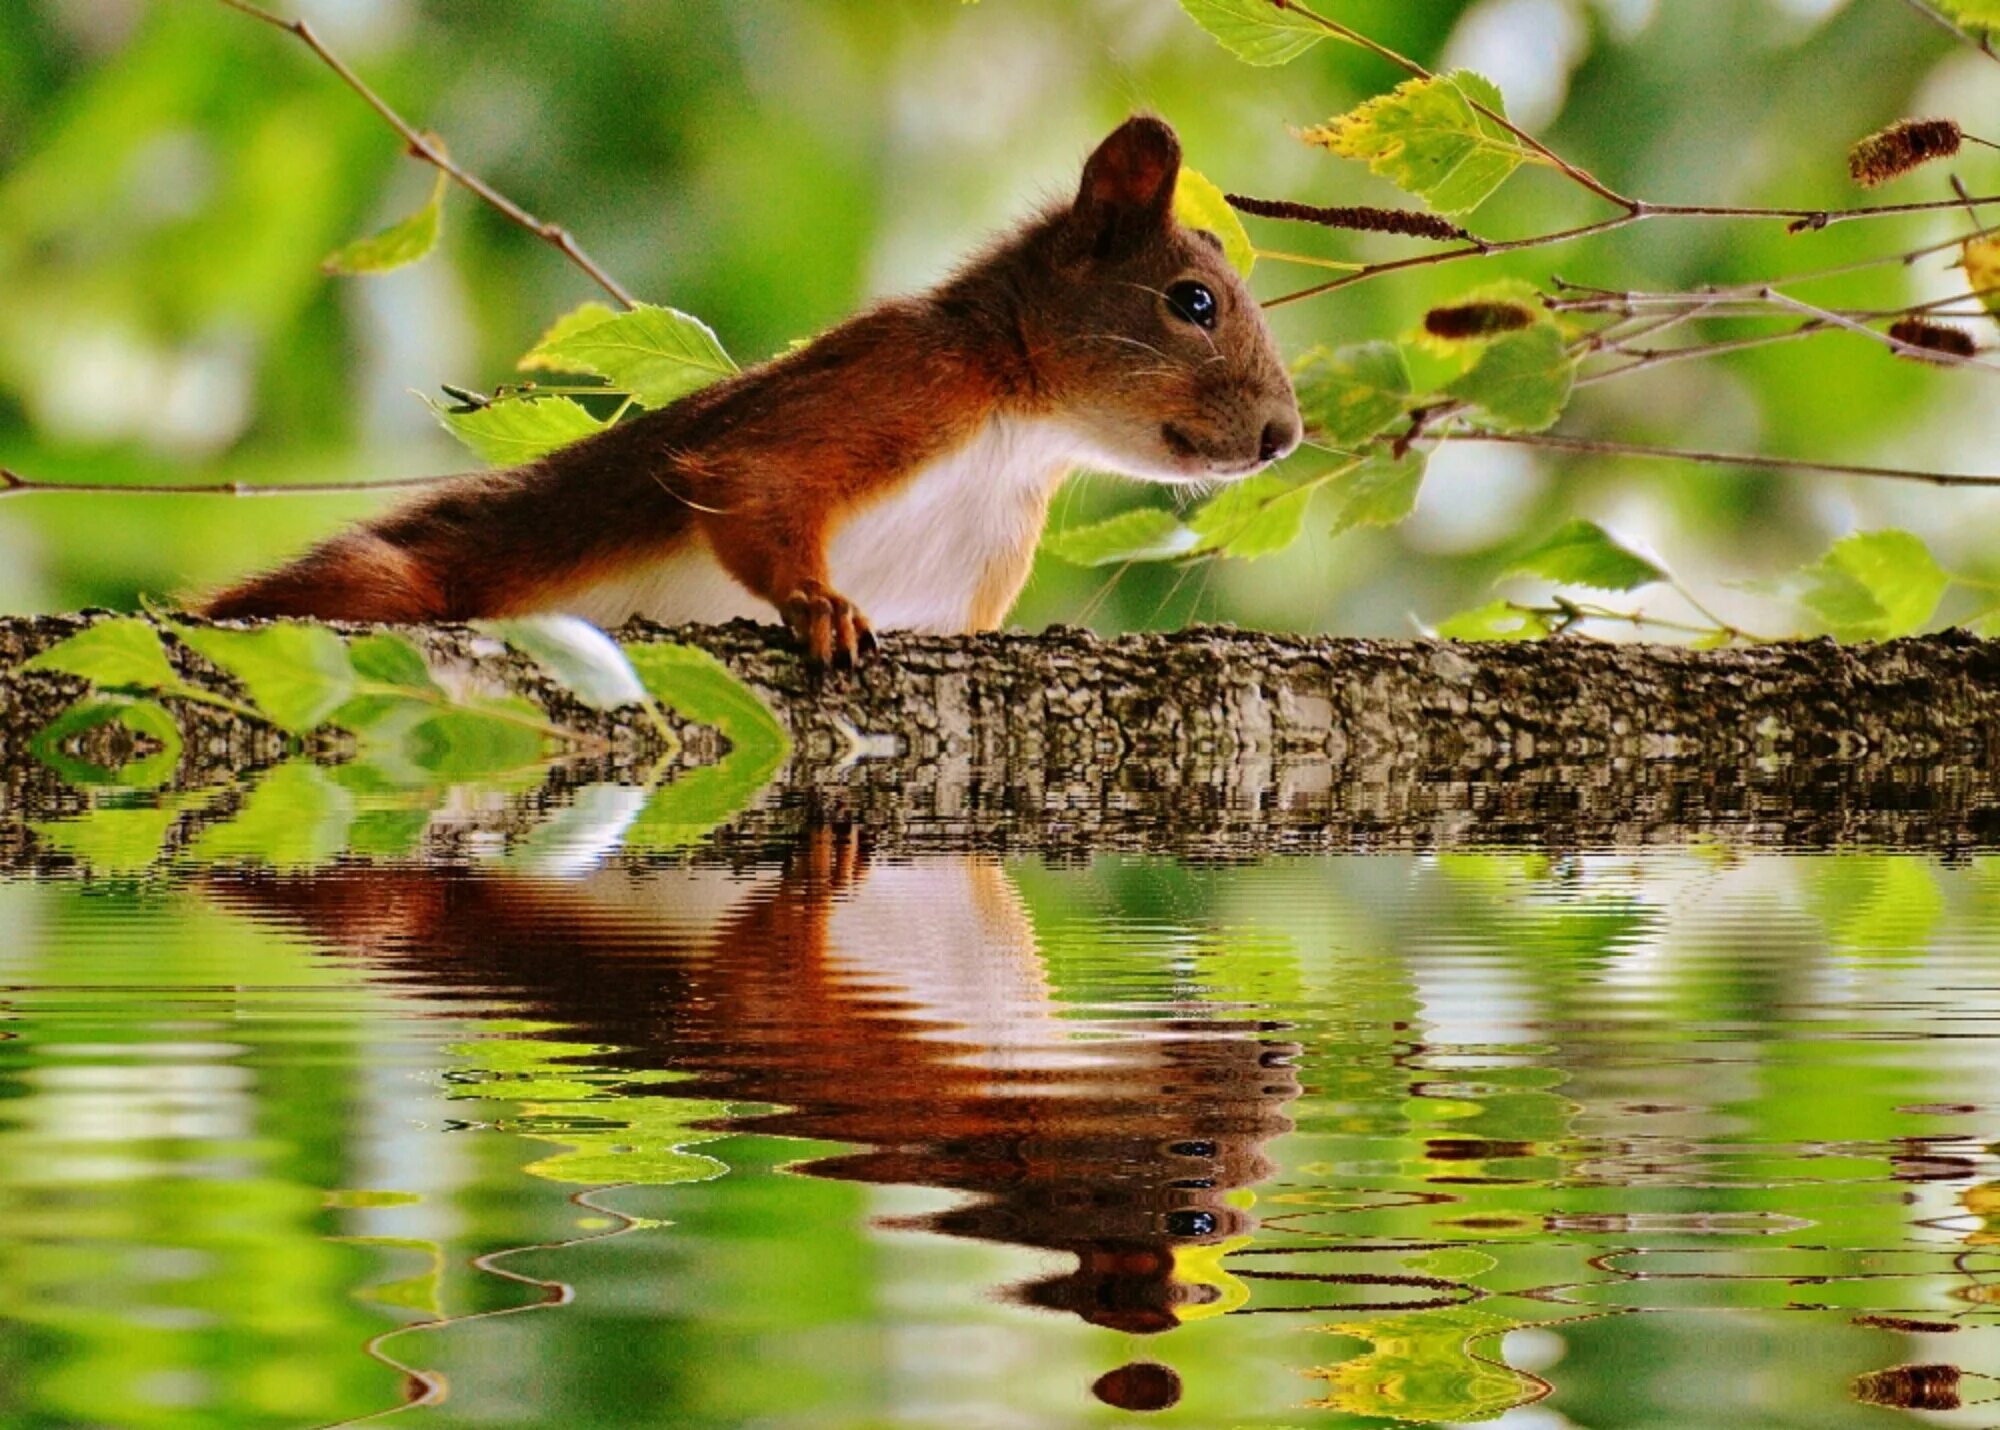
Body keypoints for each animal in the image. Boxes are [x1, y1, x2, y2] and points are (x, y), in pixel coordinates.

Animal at [203, 117, 1296, 664]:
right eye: (1193, 302)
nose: (1283, 435)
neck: (1019, 439)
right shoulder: (899, 378)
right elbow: (750, 476)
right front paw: (817, 606)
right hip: (389, 584)